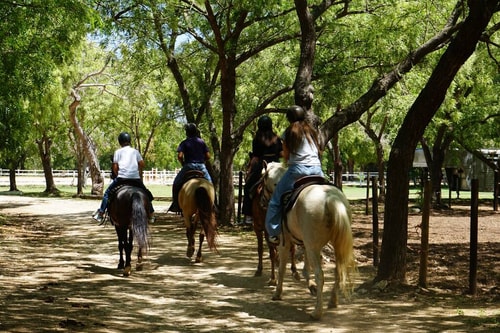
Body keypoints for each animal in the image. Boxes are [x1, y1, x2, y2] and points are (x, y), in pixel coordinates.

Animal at [264, 161, 358, 320]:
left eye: (263, 177)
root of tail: (330, 198)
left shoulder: (285, 242)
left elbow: (282, 268)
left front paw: (277, 293)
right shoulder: (306, 243)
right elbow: (306, 267)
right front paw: (310, 284)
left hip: (313, 246)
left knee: (321, 274)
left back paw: (317, 312)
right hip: (333, 244)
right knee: (337, 270)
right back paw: (332, 301)